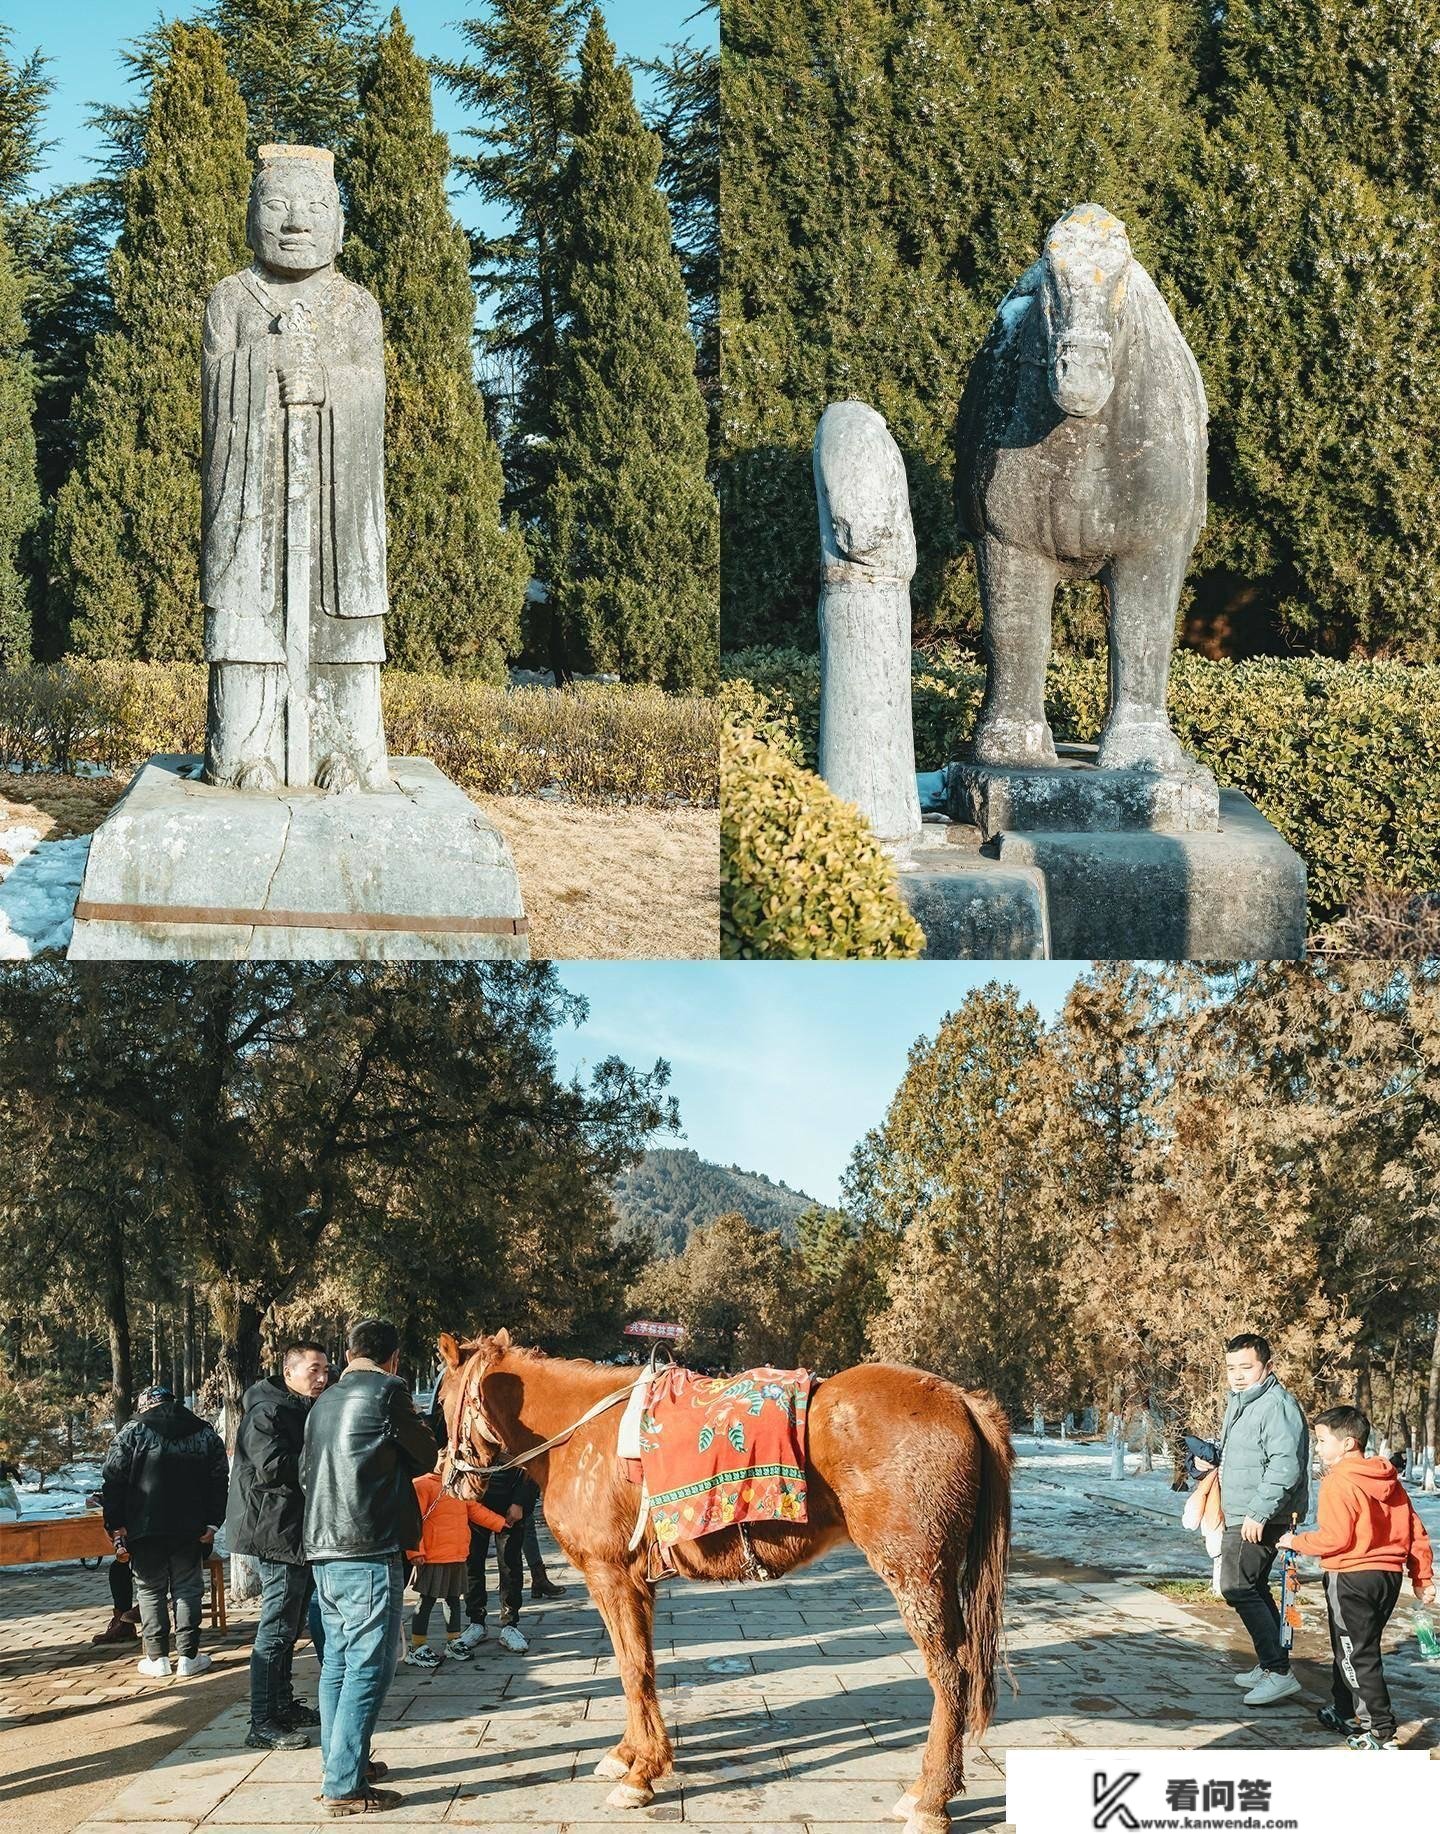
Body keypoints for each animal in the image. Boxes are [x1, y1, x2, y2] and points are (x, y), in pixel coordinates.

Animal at [432, 1335, 1005, 1834]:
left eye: (440, 1399)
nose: (451, 1480)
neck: (580, 1434)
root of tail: (960, 1400)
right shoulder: (628, 1582)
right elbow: (634, 1665)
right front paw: (629, 1754)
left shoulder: (611, 1575)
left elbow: (632, 1667)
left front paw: (643, 1773)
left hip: (915, 1574)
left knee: (949, 1675)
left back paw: (930, 1801)